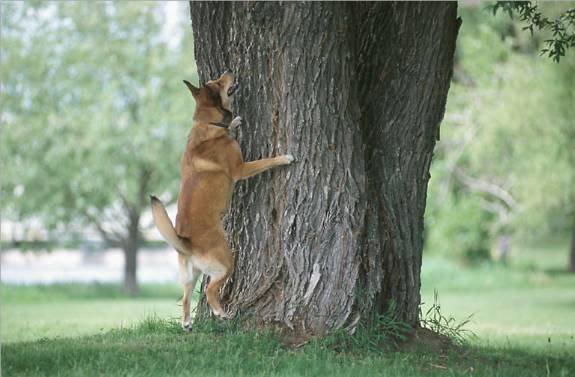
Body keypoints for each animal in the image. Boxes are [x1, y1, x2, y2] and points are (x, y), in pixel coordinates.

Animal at [151, 70, 294, 328]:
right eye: (218, 83)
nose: (228, 71)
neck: (207, 124)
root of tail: (186, 242)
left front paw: (235, 122)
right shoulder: (240, 169)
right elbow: (265, 161)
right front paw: (284, 158)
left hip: (191, 274)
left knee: (186, 295)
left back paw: (186, 323)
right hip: (226, 262)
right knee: (209, 290)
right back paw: (221, 313)